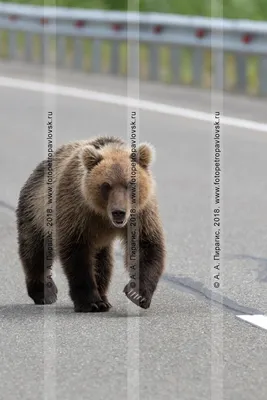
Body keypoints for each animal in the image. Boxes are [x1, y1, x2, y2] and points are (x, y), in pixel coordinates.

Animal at [16, 136, 165, 310]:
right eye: (106, 185)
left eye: (131, 184)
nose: (118, 211)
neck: (103, 215)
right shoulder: (77, 211)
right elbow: (78, 255)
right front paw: (91, 302)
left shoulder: (142, 213)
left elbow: (146, 246)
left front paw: (138, 294)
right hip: (36, 211)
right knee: (35, 253)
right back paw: (45, 293)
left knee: (103, 263)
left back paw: (104, 298)